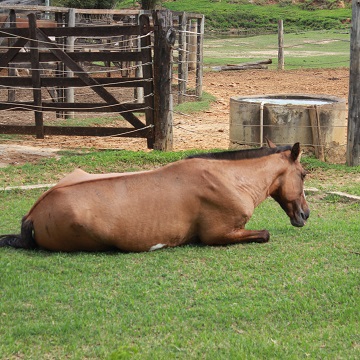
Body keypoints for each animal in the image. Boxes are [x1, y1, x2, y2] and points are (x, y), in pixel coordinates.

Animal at [0, 141, 310, 253]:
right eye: (304, 174)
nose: (305, 214)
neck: (229, 178)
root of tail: (33, 214)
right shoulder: (218, 234)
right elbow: (265, 233)